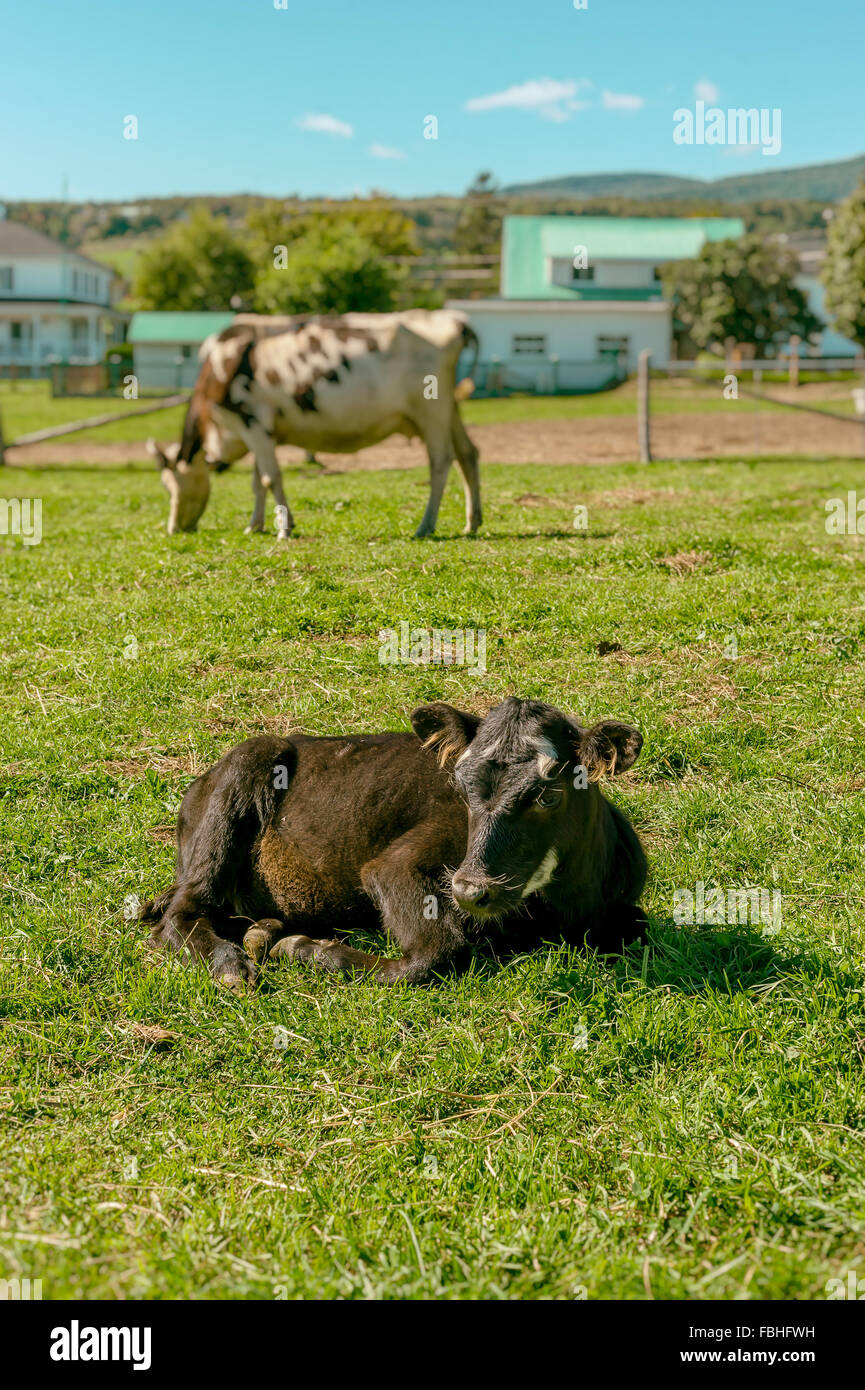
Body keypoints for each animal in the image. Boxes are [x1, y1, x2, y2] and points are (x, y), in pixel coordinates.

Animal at [139, 700, 648, 995]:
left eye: (549, 795)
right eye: (460, 788)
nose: (470, 889)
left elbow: (638, 928)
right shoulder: (393, 866)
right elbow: (437, 952)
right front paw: (308, 950)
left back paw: (262, 931)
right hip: (244, 772)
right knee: (181, 914)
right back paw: (231, 964)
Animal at [147, 312, 481, 539]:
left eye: (168, 484)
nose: (173, 528)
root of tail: (451, 319)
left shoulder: (251, 422)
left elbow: (271, 478)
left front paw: (283, 529)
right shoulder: (261, 432)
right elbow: (258, 482)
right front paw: (256, 525)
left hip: (431, 411)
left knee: (441, 462)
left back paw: (425, 525)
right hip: (449, 409)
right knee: (468, 454)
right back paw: (472, 522)